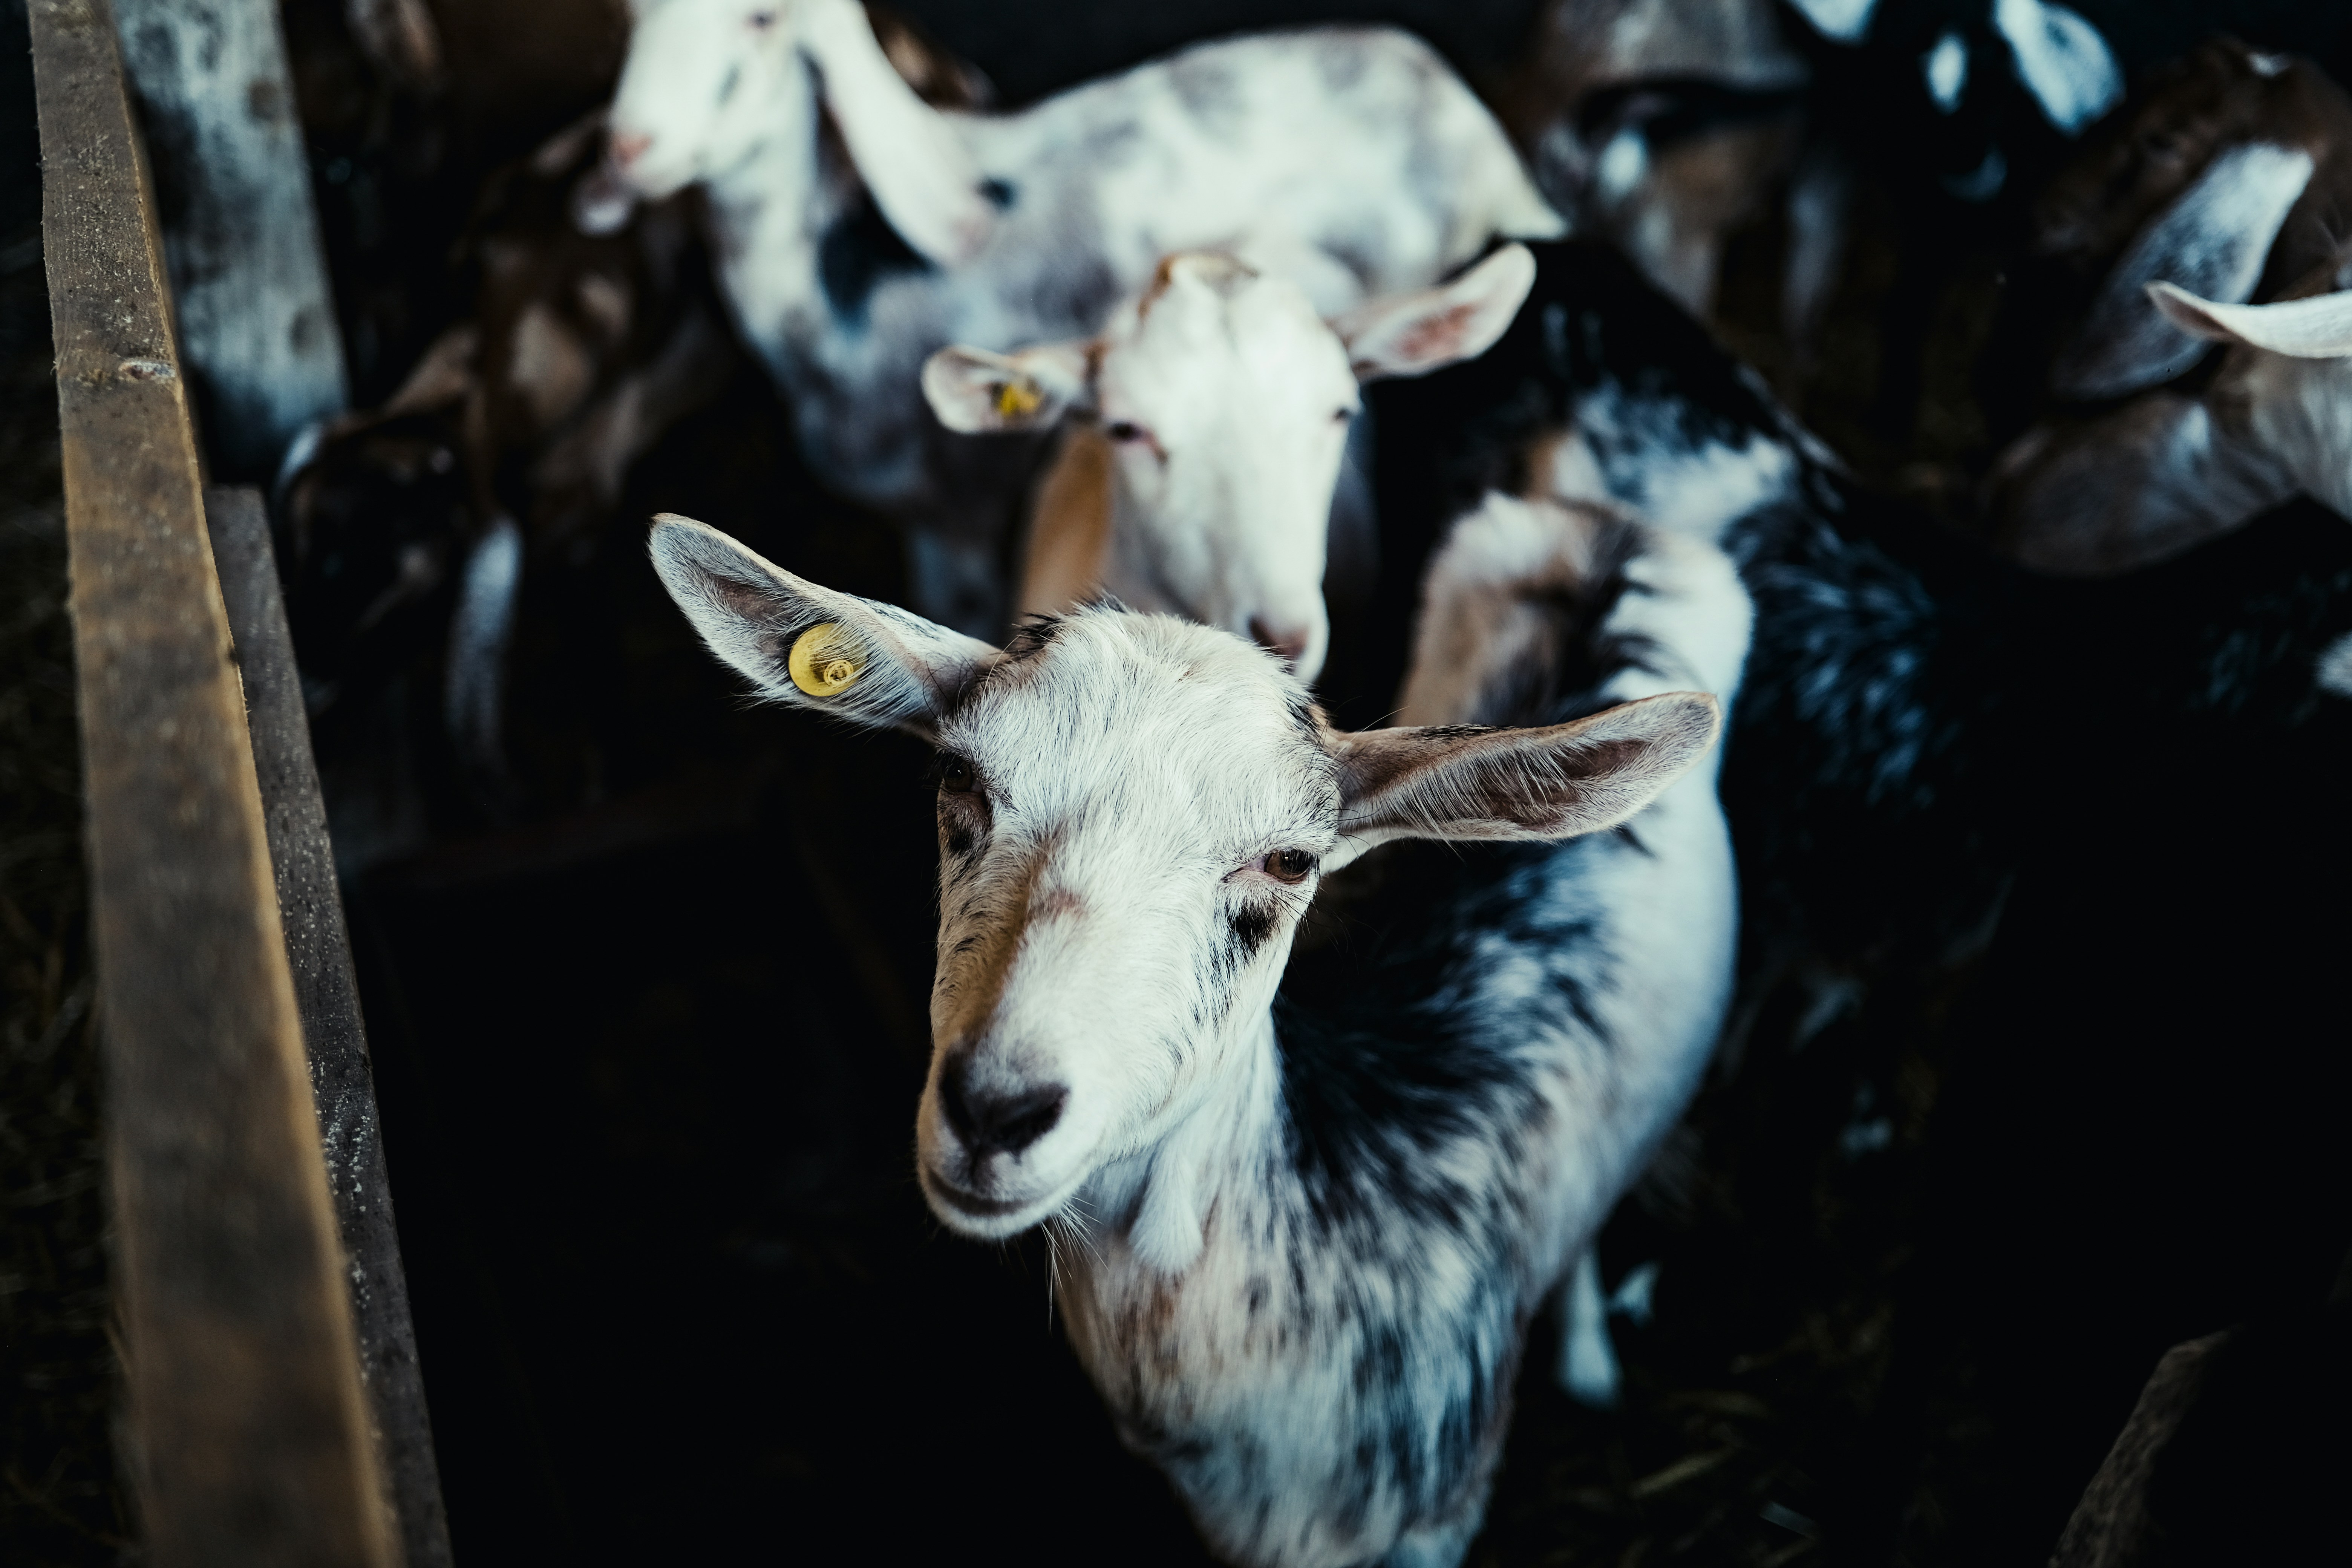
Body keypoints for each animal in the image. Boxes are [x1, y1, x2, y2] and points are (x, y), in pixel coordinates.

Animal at [591, 0, 1562, 634]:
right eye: (631, 15)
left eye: (762, 21)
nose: (631, 149)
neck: (839, 298)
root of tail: (1446, 90)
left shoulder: (957, 524)